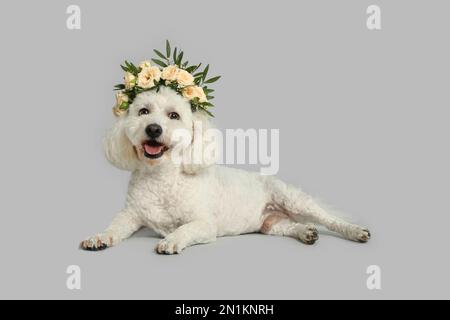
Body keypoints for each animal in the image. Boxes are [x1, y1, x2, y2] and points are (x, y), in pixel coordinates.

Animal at [80, 86, 370, 254]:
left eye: (174, 115)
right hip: (271, 223)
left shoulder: (204, 224)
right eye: (143, 111)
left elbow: (184, 229)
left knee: (329, 220)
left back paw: (355, 231)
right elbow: (114, 227)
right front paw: (100, 237)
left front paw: (171, 240)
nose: (153, 128)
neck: (161, 176)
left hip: (293, 199)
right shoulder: (130, 216)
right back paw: (305, 232)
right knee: (289, 226)